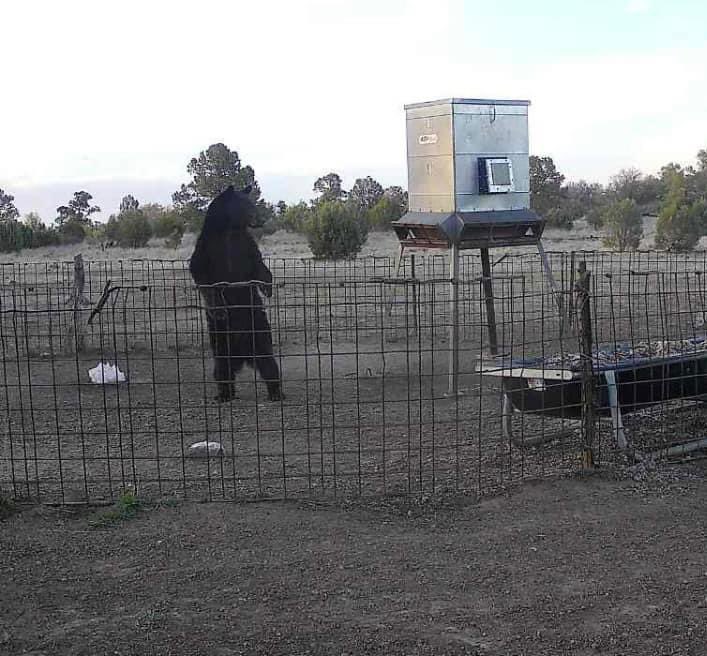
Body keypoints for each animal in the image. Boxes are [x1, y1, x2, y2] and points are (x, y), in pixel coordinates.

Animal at [191, 182, 284, 402]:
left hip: (258, 329)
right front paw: (219, 308)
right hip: (220, 336)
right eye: (246, 205)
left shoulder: (246, 245)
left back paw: (276, 392)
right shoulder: (207, 248)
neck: (230, 230)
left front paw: (267, 287)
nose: (260, 219)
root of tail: (242, 355)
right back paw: (224, 394)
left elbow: (259, 266)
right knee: (222, 367)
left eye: (252, 203)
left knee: (268, 362)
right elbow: (202, 275)